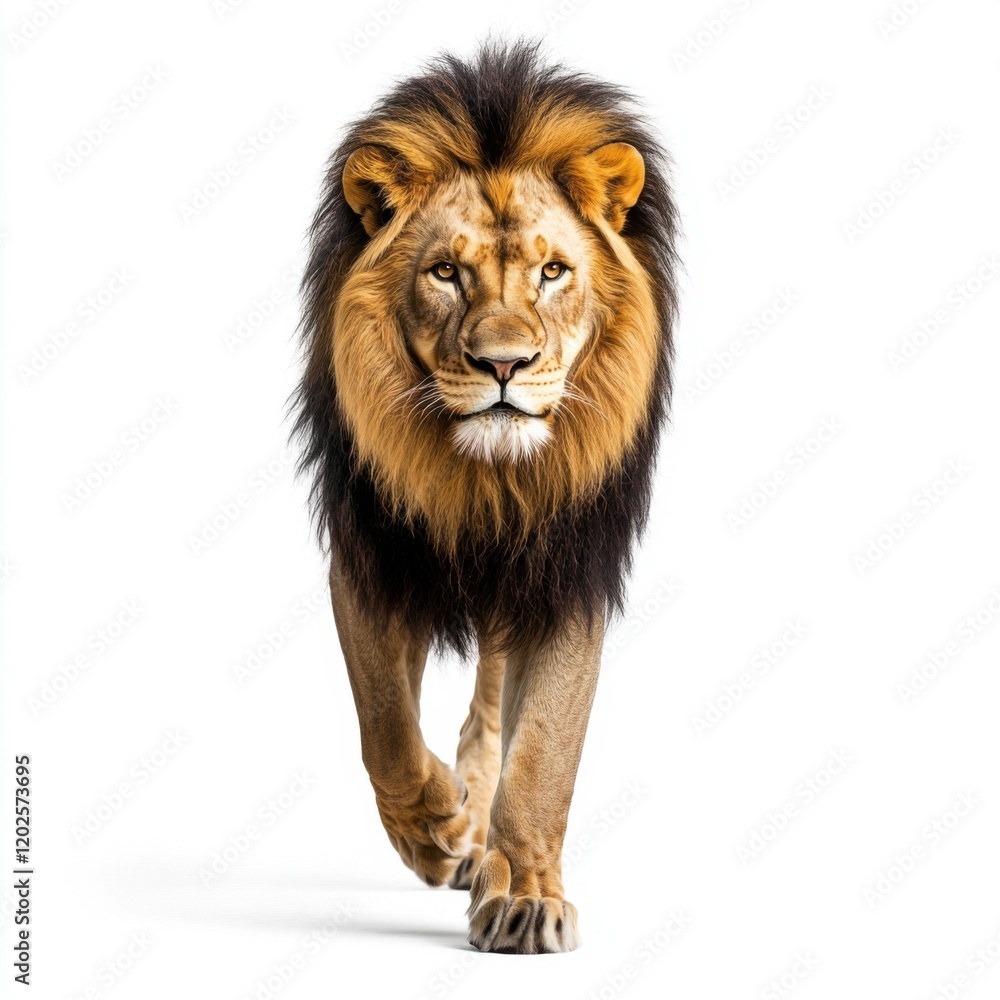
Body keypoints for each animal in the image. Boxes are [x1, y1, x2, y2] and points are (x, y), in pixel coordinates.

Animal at [293, 40, 678, 954]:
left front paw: (527, 895)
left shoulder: (570, 569)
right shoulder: (369, 554)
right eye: (445, 273)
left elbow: (544, 752)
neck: (485, 483)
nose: (504, 364)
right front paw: (436, 827)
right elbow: (384, 723)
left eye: (553, 271)